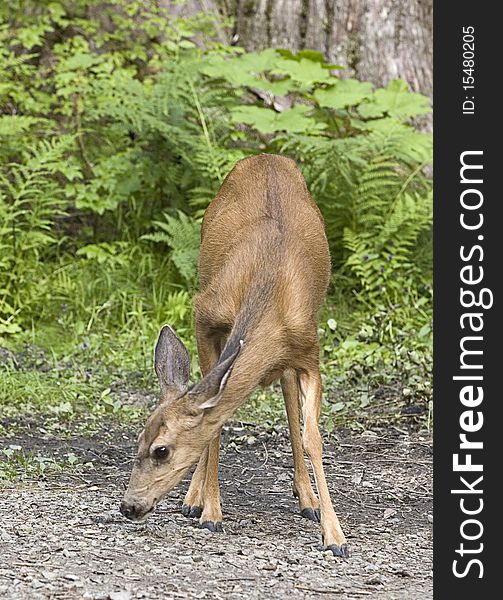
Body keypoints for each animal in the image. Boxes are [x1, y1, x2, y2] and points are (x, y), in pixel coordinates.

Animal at [121, 155, 350, 556]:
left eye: (161, 450)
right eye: (139, 439)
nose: (128, 505)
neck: (269, 288)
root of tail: (266, 157)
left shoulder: (310, 352)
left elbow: (312, 437)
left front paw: (335, 536)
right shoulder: (205, 316)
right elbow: (214, 422)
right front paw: (211, 512)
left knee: (287, 390)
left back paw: (307, 499)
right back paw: (194, 498)